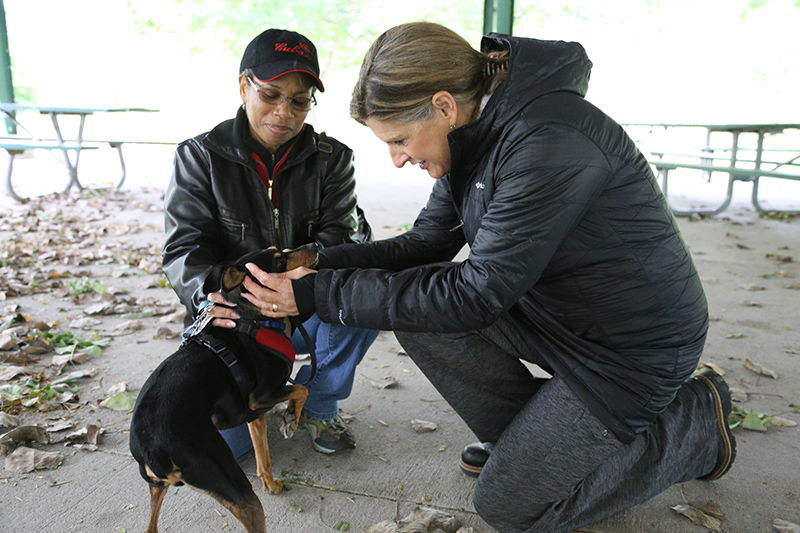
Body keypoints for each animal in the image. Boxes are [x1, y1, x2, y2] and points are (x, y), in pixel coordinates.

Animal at [130, 243, 318, 528]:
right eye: (278, 261)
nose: (315, 246)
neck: (254, 321)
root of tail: (152, 450)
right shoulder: (260, 397)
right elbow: (302, 389)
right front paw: (290, 419)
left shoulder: (255, 415)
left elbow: (263, 458)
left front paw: (271, 484)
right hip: (228, 480)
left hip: (158, 488)